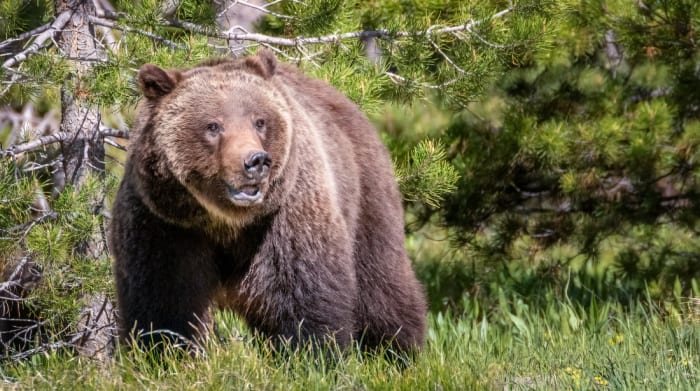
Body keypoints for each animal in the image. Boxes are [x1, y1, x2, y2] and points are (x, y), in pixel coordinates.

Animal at [109, 50, 426, 354]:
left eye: (259, 121)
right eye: (213, 126)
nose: (256, 161)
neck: (224, 221)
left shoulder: (286, 215)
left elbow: (303, 294)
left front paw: (310, 354)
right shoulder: (164, 222)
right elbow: (164, 301)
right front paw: (163, 351)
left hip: (365, 195)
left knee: (380, 284)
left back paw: (396, 350)